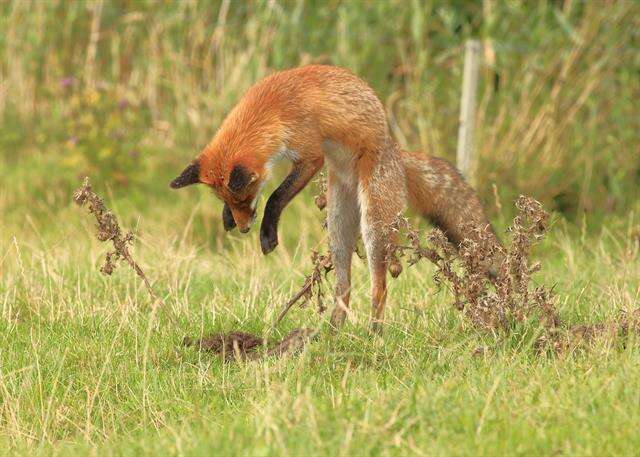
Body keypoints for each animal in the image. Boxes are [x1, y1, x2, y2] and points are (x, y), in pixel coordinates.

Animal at [170, 64, 500, 332]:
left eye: (245, 196)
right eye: (228, 200)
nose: (243, 229)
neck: (273, 107)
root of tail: (394, 148)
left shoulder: (310, 154)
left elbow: (276, 196)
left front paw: (268, 234)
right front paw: (229, 219)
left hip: (373, 224)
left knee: (379, 286)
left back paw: (373, 333)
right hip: (339, 227)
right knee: (344, 287)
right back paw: (332, 333)